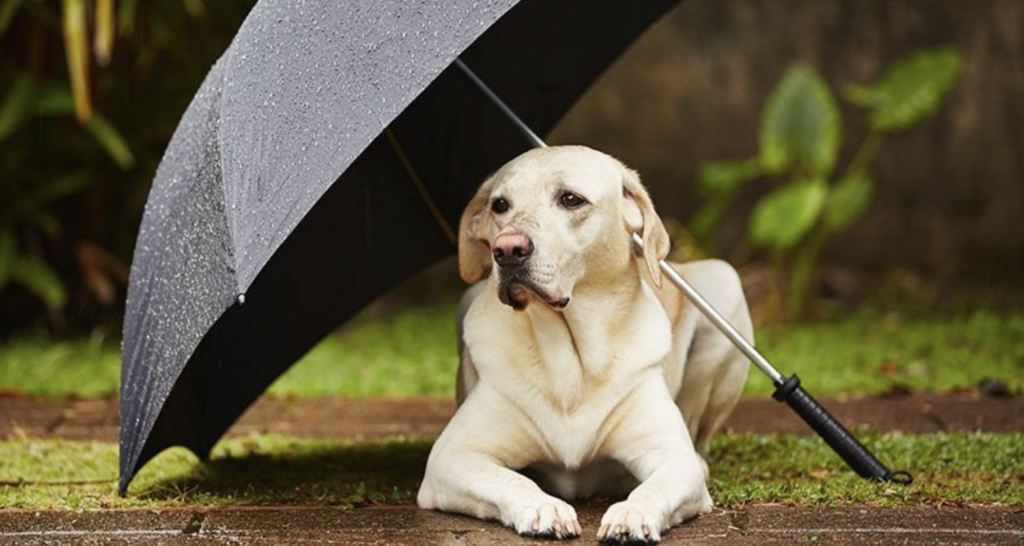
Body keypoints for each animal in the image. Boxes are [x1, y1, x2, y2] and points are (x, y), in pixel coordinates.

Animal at [415, 144, 753, 540]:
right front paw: (542, 507)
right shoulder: (452, 456)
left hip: (724, 282)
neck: (573, 359)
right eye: (500, 205)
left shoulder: (672, 455)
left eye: (570, 199)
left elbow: (656, 485)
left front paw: (632, 513)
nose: (506, 249)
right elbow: (510, 479)